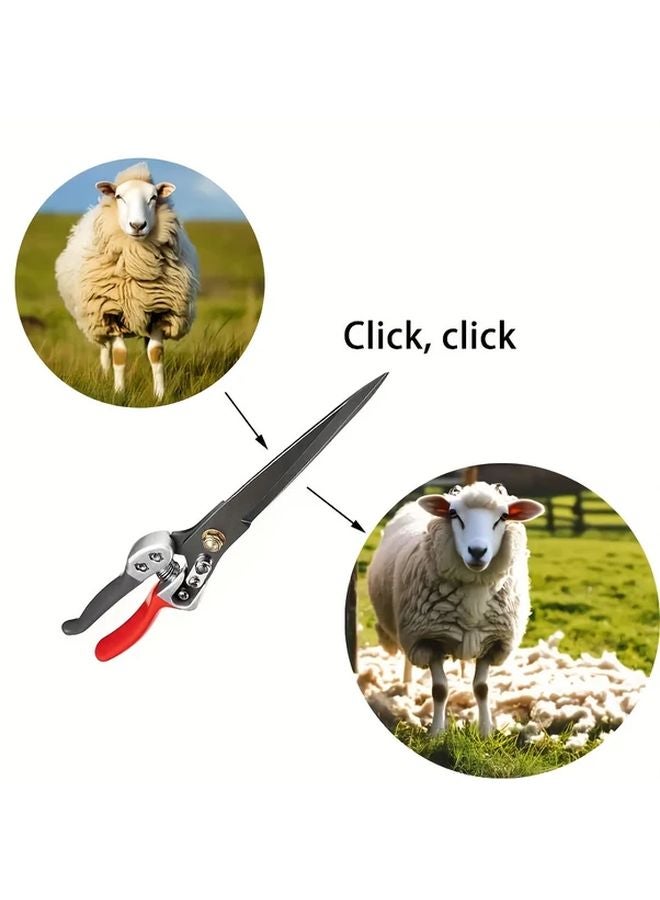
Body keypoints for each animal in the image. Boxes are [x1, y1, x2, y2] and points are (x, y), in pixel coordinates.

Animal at [55, 162, 199, 400]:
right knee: (105, 350)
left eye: (153, 197)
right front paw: (119, 393)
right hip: (97, 319)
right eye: (119, 196)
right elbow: (119, 355)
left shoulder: (160, 312)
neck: (137, 262)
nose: (138, 225)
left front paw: (160, 395)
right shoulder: (110, 312)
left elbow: (156, 354)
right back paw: (105, 377)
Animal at [367, 481, 544, 737]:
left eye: (503, 516)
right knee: (407, 660)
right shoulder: (428, 641)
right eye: (453, 514)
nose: (477, 551)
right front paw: (436, 733)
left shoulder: (493, 642)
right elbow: (440, 689)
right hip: (408, 634)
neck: (475, 591)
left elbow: (482, 688)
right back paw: (408, 684)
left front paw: (485, 732)